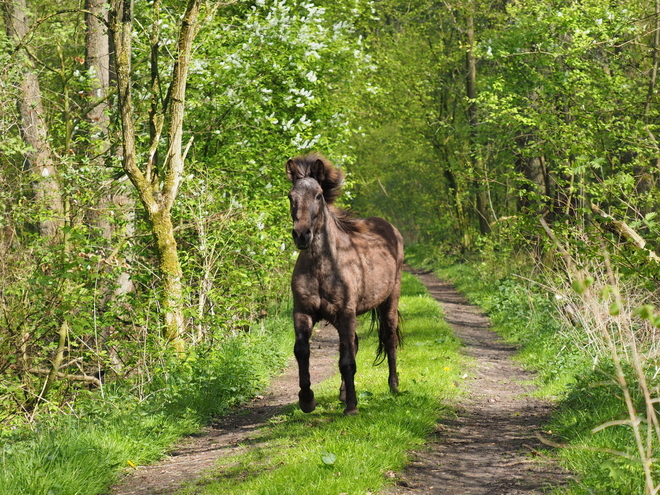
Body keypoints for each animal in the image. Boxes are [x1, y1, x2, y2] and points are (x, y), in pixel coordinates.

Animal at [286, 153, 404, 416]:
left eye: (318, 195)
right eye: (291, 196)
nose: (302, 235)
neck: (323, 266)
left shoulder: (346, 313)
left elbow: (347, 360)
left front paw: (351, 407)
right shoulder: (303, 312)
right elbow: (302, 350)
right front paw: (307, 400)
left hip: (388, 302)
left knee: (389, 340)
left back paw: (393, 387)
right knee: (354, 344)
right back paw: (342, 393)